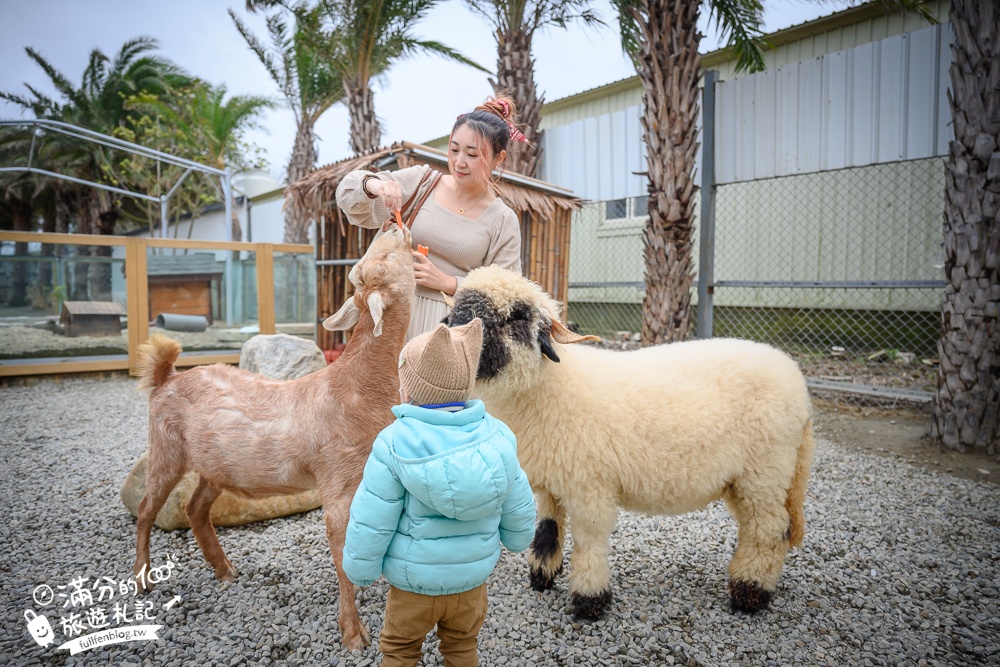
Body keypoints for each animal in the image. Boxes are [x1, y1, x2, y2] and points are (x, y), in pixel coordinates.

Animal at [130, 222, 418, 648]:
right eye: (375, 264)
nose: (392, 224)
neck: (356, 388)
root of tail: (165, 377)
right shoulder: (336, 478)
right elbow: (340, 549)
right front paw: (353, 633)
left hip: (215, 465)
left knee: (195, 508)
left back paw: (225, 570)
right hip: (165, 446)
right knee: (147, 509)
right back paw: (142, 581)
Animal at [450, 264, 816, 620]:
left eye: (518, 315)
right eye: (455, 311)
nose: (456, 335)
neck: (549, 386)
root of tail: (797, 380)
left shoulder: (589, 483)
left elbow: (590, 539)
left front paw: (589, 601)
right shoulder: (554, 480)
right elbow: (548, 530)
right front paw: (542, 577)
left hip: (765, 470)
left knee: (770, 529)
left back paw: (749, 594)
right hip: (744, 480)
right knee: (757, 527)